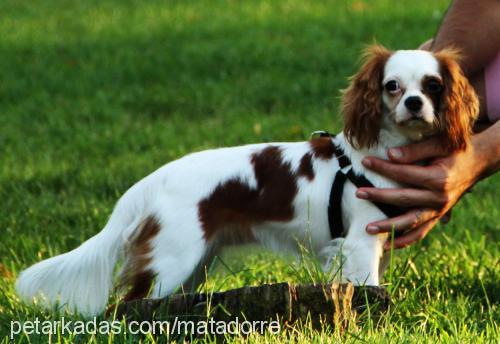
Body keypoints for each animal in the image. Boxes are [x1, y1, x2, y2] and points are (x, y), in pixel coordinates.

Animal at [14, 45, 476, 314]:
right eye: (392, 86)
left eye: (433, 86)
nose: (414, 103)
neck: (374, 152)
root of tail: (153, 179)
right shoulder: (361, 242)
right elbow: (367, 286)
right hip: (173, 260)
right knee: (129, 306)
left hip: (194, 265)